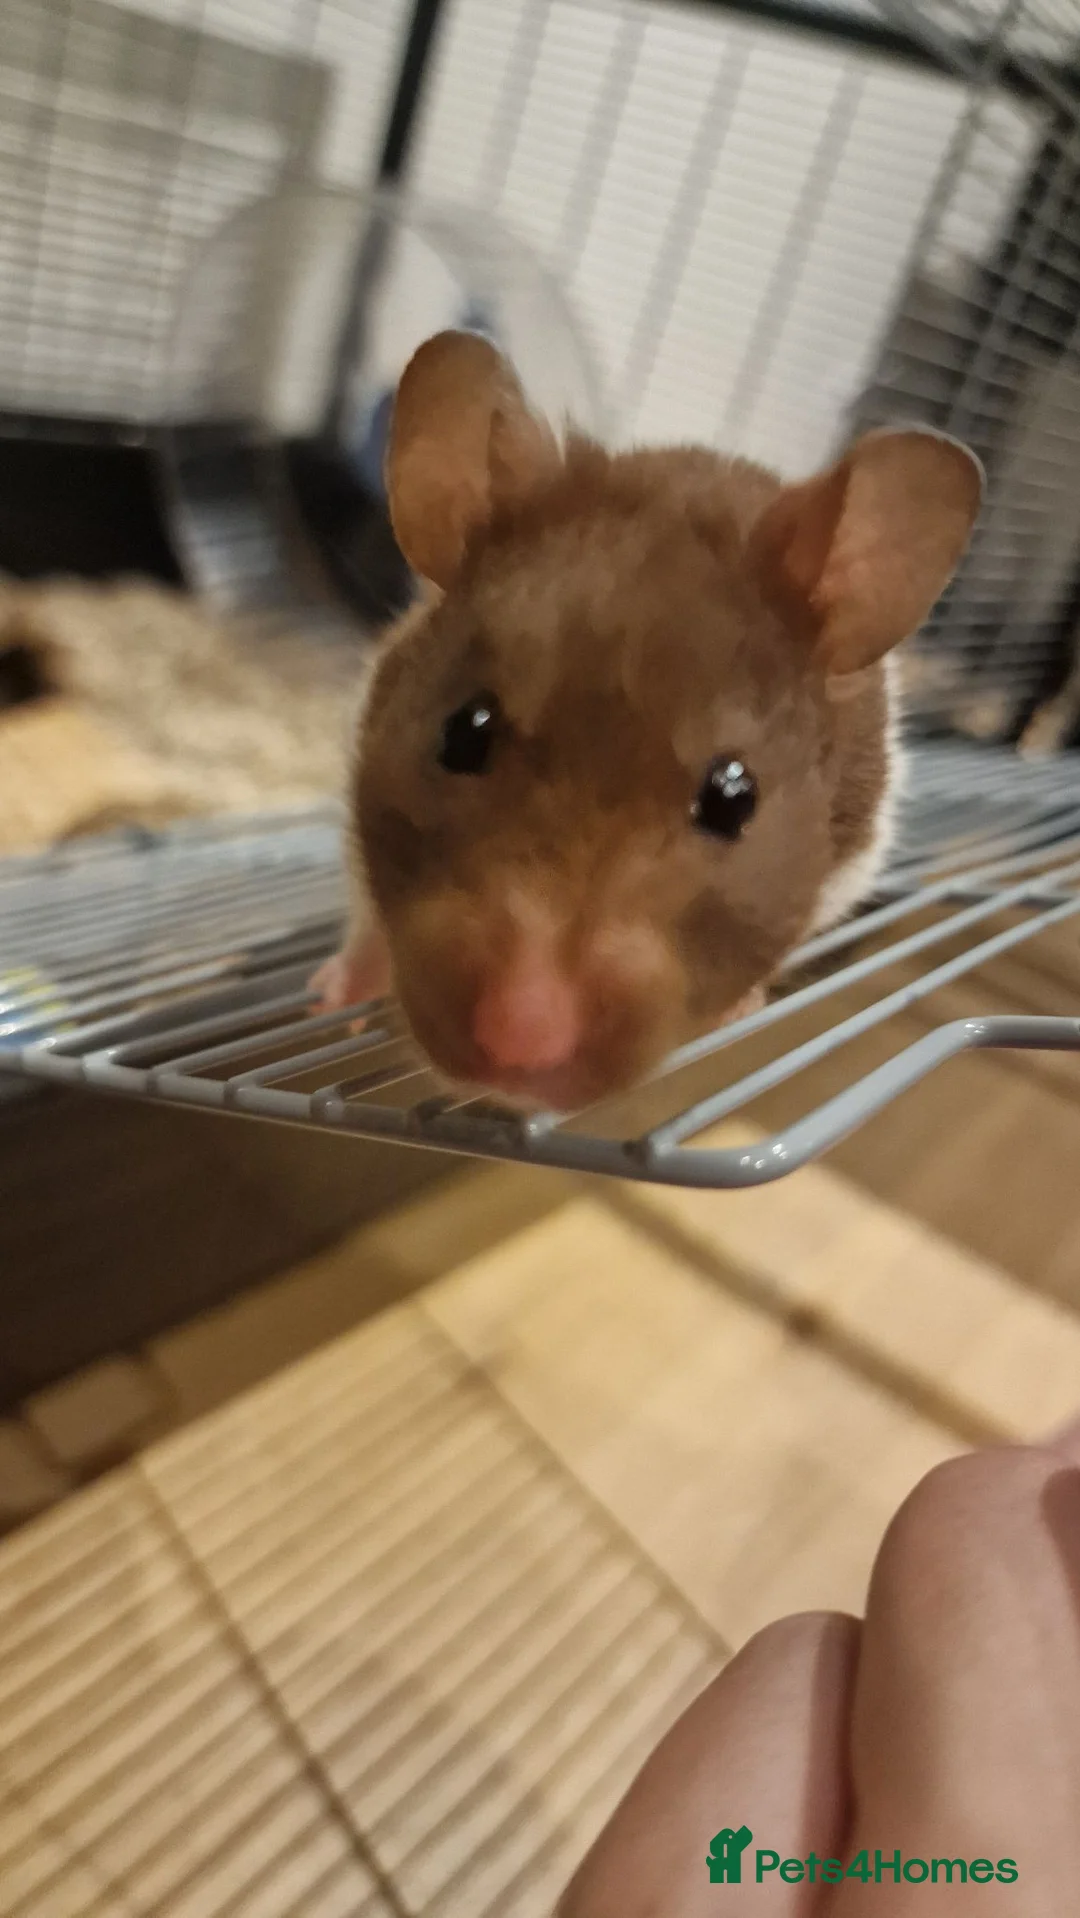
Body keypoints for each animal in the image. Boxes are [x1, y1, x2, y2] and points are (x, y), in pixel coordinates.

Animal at [312, 329, 982, 1111]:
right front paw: (331, 999)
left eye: (735, 798)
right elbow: (365, 919)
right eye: (462, 733)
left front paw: (739, 1007)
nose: (519, 1041)